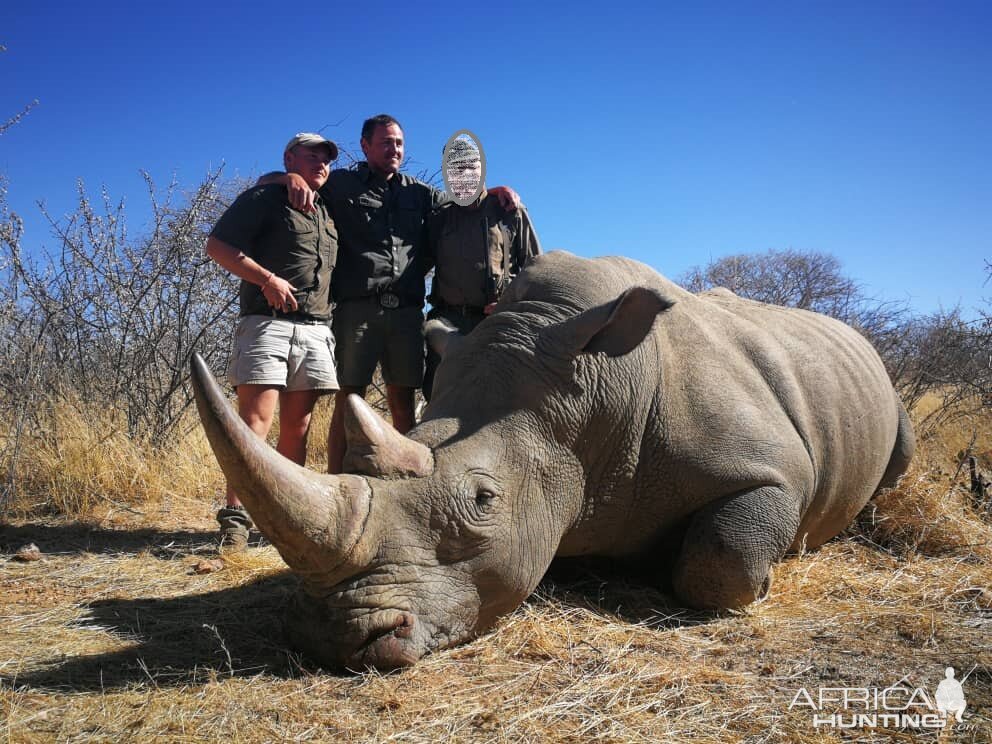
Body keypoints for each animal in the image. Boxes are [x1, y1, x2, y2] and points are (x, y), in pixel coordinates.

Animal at [192, 253, 916, 672]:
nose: (329, 637)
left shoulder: (776, 467)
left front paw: (763, 578)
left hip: (878, 378)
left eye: (483, 500)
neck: (586, 397)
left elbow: (723, 556)